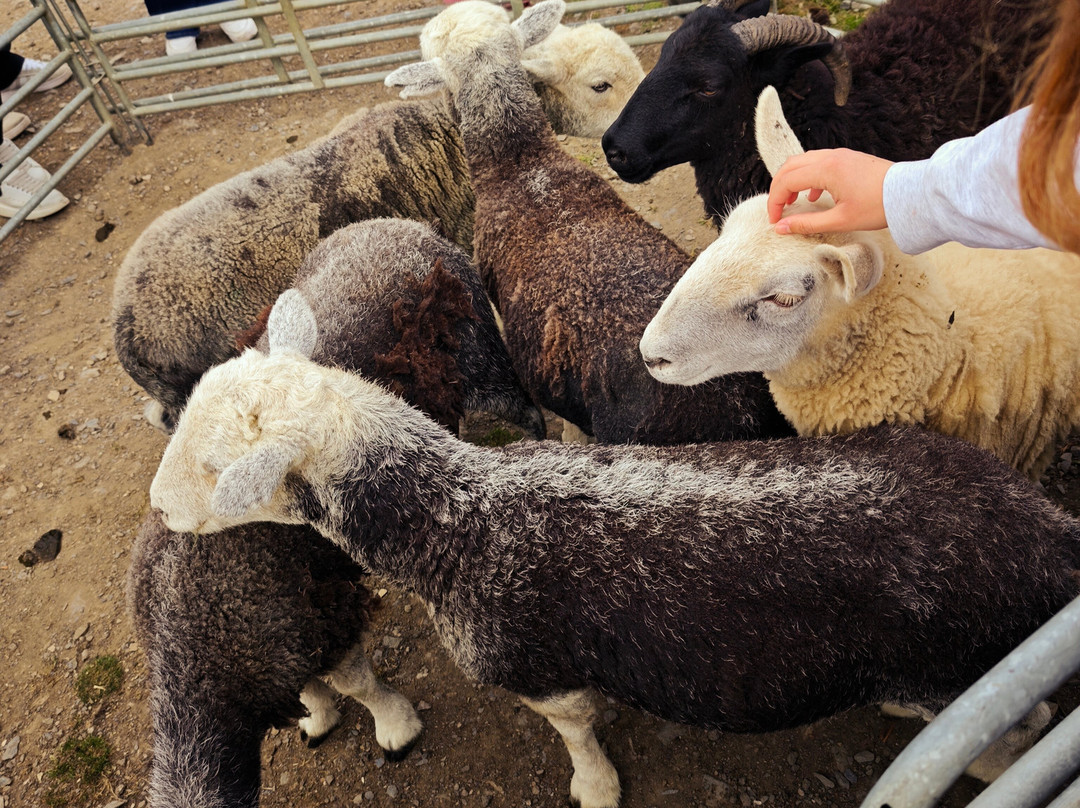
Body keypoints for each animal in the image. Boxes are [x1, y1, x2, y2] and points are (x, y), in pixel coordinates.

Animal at [128, 218, 547, 807]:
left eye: (218, 469)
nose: (159, 505)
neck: (200, 657)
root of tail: (397, 226)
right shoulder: (285, 640)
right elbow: (308, 689)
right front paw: (318, 717)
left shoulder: (322, 615)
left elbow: (356, 684)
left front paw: (395, 726)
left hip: (482, 358)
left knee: (525, 410)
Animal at [148, 290, 1080, 808]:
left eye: (219, 471)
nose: (159, 507)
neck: (458, 519)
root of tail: (1043, 529)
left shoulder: (534, 668)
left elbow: (576, 732)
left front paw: (593, 790)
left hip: (956, 666)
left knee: (1019, 729)